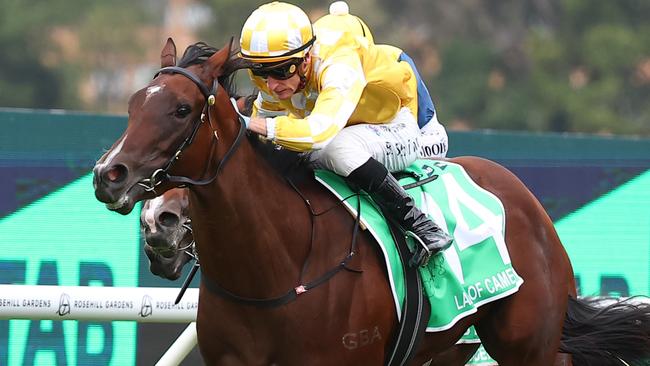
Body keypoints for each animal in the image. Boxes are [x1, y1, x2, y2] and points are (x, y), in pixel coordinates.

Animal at [92, 38, 648, 364]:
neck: (278, 269)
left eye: (182, 110)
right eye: (133, 105)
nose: (108, 175)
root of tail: (527, 201)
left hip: (530, 344)